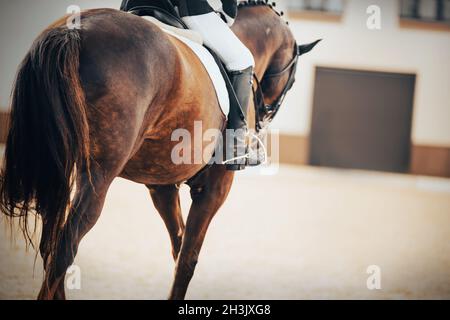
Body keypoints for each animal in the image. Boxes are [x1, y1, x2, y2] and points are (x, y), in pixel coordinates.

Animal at [0, 1, 318, 300]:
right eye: (293, 81)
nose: (264, 118)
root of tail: (74, 33)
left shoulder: (161, 184)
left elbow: (178, 246)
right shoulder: (216, 186)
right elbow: (188, 259)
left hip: (56, 168)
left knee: (50, 245)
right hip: (97, 176)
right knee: (65, 247)